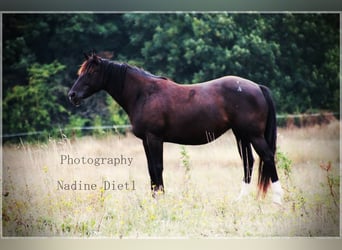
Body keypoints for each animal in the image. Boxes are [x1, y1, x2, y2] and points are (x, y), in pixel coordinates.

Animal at [67, 52, 284, 203]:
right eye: (80, 72)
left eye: (91, 72)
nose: (72, 95)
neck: (144, 94)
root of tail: (257, 87)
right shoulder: (146, 141)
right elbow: (151, 169)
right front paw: (154, 199)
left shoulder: (154, 138)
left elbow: (158, 167)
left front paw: (160, 199)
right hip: (242, 135)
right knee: (249, 162)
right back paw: (240, 200)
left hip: (254, 135)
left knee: (267, 157)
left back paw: (278, 200)